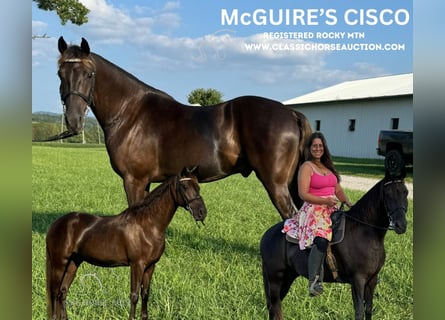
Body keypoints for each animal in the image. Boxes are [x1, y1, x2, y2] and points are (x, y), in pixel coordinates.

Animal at [46, 168, 206, 320]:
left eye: (198, 186)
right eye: (184, 186)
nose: (201, 212)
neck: (147, 226)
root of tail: (56, 224)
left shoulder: (150, 266)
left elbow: (145, 294)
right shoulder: (137, 265)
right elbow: (134, 295)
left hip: (73, 263)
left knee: (63, 292)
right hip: (59, 264)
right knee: (54, 292)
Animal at [49, 36, 312, 219]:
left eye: (89, 74)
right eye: (60, 73)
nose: (73, 120)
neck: (130, 113)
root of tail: (291, 113)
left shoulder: (134, 180)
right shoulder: (144, 182)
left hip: (276, 184)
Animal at [258, 172, 408, 320]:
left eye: (405, 192)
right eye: (388, 194)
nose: (401, 225)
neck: (365, 232)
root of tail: (266, 236)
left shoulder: (371, 280)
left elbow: (369, 310)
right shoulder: (357, 280)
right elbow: (359, 311)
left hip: (287, 277)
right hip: (275, 279)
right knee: (275, 308)